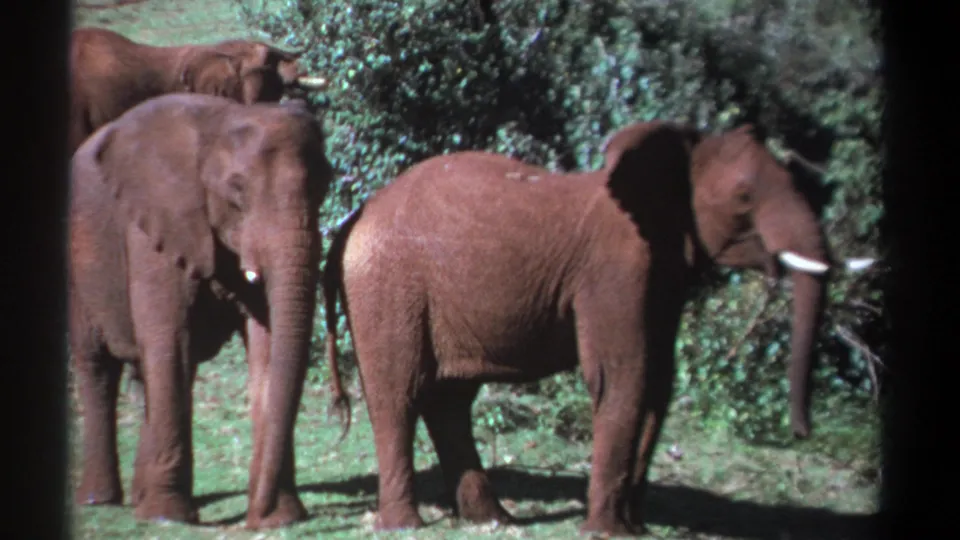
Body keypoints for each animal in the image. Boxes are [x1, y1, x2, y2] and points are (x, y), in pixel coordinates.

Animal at [69, 93, 334, 529]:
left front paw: (280, 516)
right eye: (237, 190)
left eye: (325, 185)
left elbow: (266, 345)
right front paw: (168, 518)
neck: (223, 120)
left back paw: (140, 497)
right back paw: (101, 500)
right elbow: (169, 338)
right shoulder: (155, 226)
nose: (253, 520)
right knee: (98, 367)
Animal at [319, 121, 863, 536]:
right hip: (388, 286)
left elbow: (657, 384)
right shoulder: (615, 272)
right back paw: (405, 524)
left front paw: (634, 529)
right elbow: (623, 377)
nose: (803, 432)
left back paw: (493, 520)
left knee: (450, 401)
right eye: (745, 197)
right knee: (400, 394)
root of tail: (354, 217)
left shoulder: (660, 276)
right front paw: (607, 532)